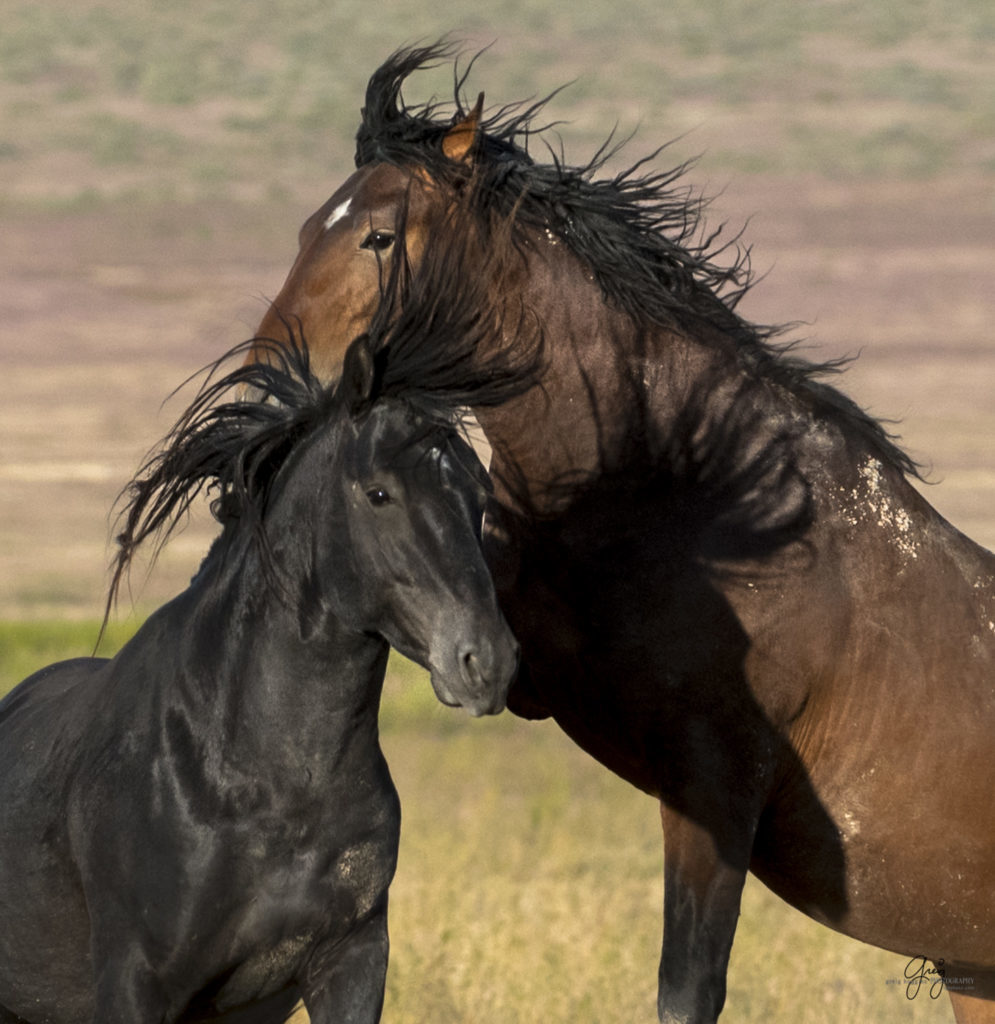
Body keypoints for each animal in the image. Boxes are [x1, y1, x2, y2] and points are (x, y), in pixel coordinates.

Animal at [0, 249, 536, 1024]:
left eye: (478, 496)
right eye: (378, 492)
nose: (486, 662)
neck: (264, 790)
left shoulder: (349, 961)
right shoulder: (136, 982)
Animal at [248, 41, 995, 1024]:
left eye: (377, 236)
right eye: (304, 228)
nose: (264, 375)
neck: (689, 500)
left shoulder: (714, 782)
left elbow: (687, 989)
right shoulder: (528, 672)